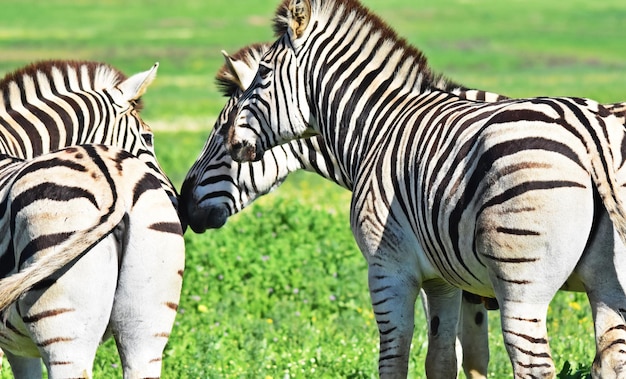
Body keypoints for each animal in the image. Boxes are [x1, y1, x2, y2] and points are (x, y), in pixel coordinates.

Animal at [221, 1, 626, 378]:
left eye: (264, 72)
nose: (233, 143)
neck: (378, 126)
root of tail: (587, 128)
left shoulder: (389, 267)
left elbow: (396, 355)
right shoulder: (445, 277)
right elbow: (448, 357)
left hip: (521, 283)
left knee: (534, 365)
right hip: (608, 284)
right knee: (610, 359)